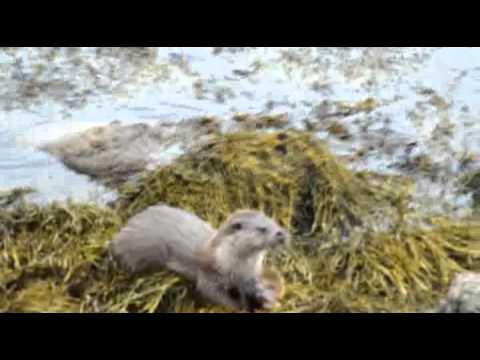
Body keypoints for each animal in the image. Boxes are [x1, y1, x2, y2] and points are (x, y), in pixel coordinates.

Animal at [109, 205, 288, 312]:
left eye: (275, 222)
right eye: (262, 229)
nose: (282, 233)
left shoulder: (250, 277)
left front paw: (268, 299)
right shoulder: (209, 276)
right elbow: (211, 293)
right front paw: (238, 307)